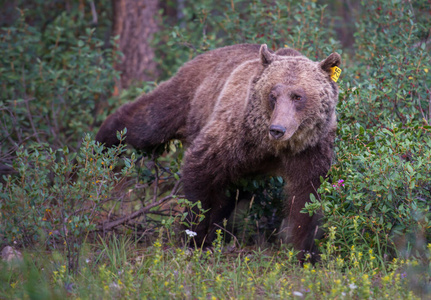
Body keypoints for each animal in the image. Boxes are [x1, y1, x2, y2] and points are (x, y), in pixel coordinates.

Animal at [97, 44, 340, 260]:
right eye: (273, 94)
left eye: (298, 96)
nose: (277, 129)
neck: (272, 147)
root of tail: (206, 54)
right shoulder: (233, 134)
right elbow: (201, 173)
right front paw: (193, 236)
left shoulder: (310, 150)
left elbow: (306, 199)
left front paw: (304, 253)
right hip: (188, 96)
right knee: (148, 122)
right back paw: (102, 143)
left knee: (229, 196)